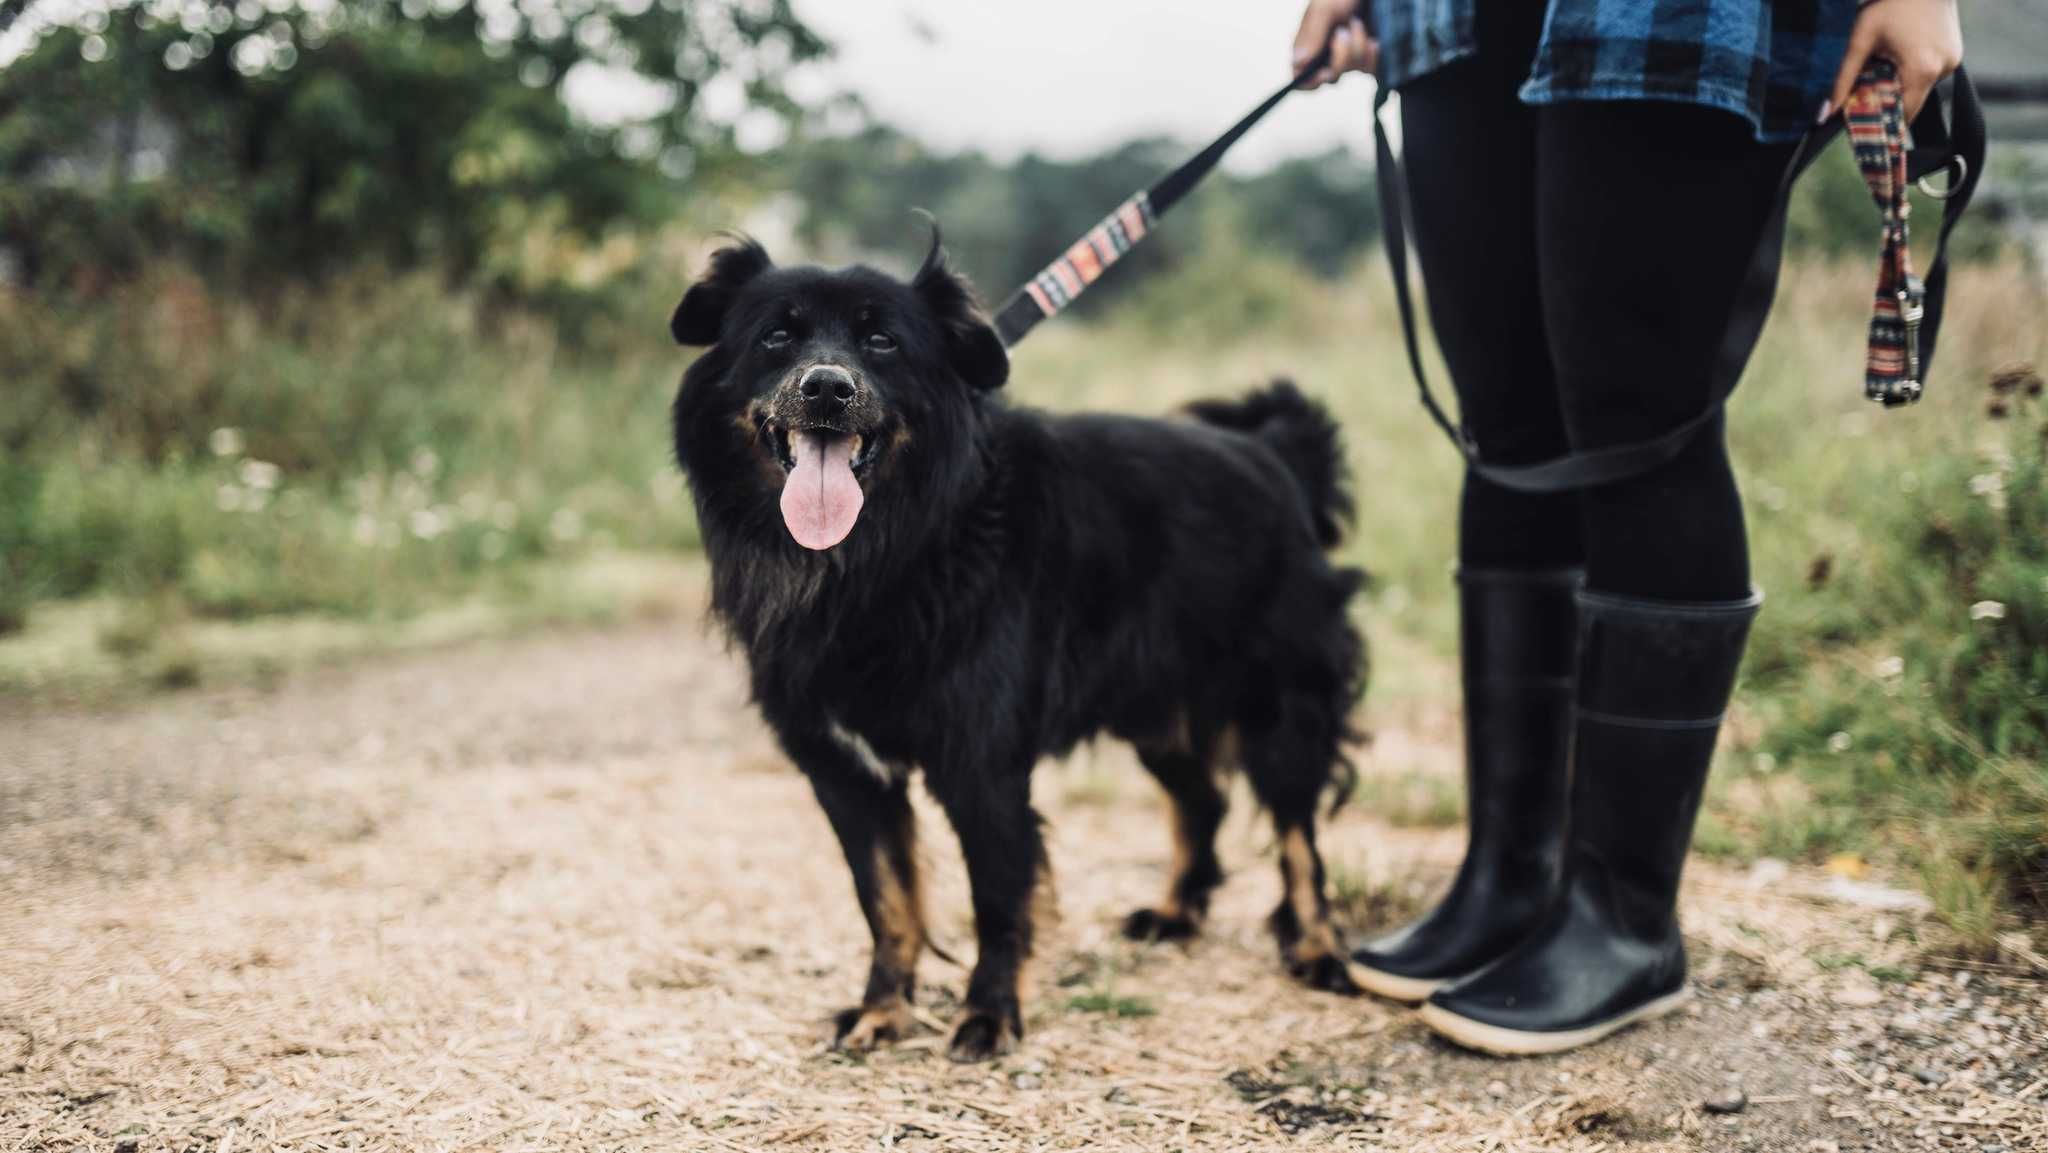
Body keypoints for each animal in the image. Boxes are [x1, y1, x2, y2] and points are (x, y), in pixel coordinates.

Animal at [671, 232, 1368, 1064]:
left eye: (882, 341)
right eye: (777, 335)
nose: (828, 389)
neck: (889, 548)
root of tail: (1275, 455)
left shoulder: (984, 764)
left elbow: (999, 899)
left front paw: (989, 1014)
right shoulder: (845, 771)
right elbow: (886, 900)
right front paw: (883, 1010)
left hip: (1278, 704)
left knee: (1299, 834)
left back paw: (1319, 947)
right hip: (1152, 708)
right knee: (1204, 798)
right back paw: (1175, 912)